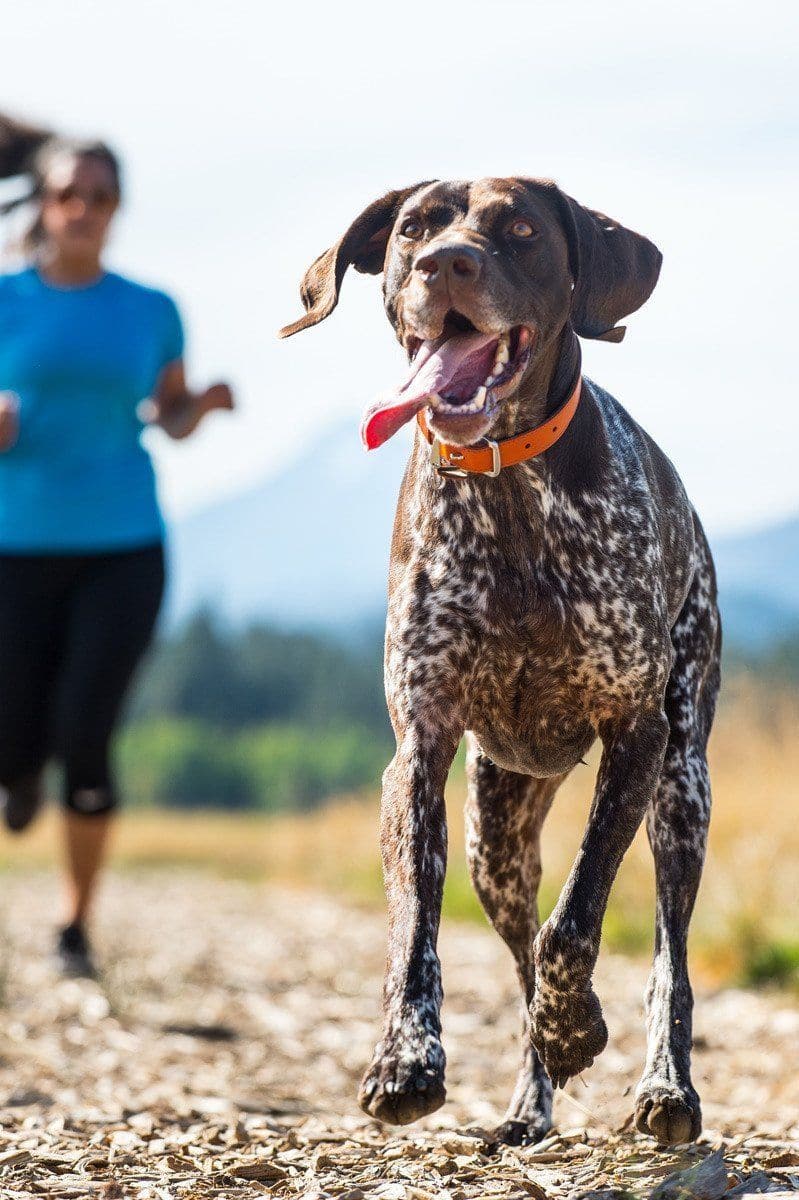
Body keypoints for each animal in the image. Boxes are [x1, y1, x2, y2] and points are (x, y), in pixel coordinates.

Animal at [279, 175, 719, 1142]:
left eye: (518, 228)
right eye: (413, 229)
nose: (448, 264)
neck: (506, 486)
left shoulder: (634, 738)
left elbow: (579, 918)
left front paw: (577, 1023)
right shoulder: (420, 748)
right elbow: (416, 928)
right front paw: (405, 1059)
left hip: (682, 790)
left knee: (666, 954)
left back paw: (663, 1086)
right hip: (496, 832)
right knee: (517, 959)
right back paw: (529, 1105)